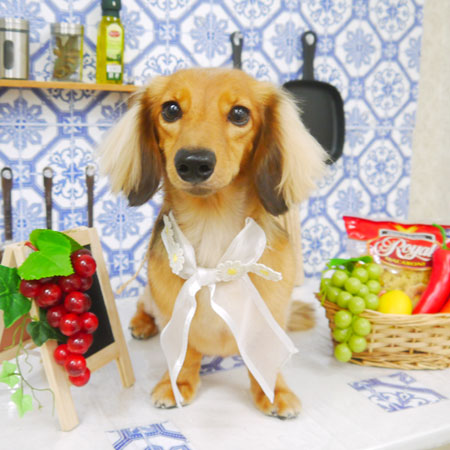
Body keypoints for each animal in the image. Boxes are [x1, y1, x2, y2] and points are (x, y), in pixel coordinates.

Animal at [100, 68, 326, 419]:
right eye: (171, 109)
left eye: (239, 113)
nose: (194, 162)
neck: (212, 227)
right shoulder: (174, 311)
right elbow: (187, 352)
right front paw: (177, 382)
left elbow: (264, 360)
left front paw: (274, 390)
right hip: (151, 294)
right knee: (142, 303)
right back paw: (141, 324)